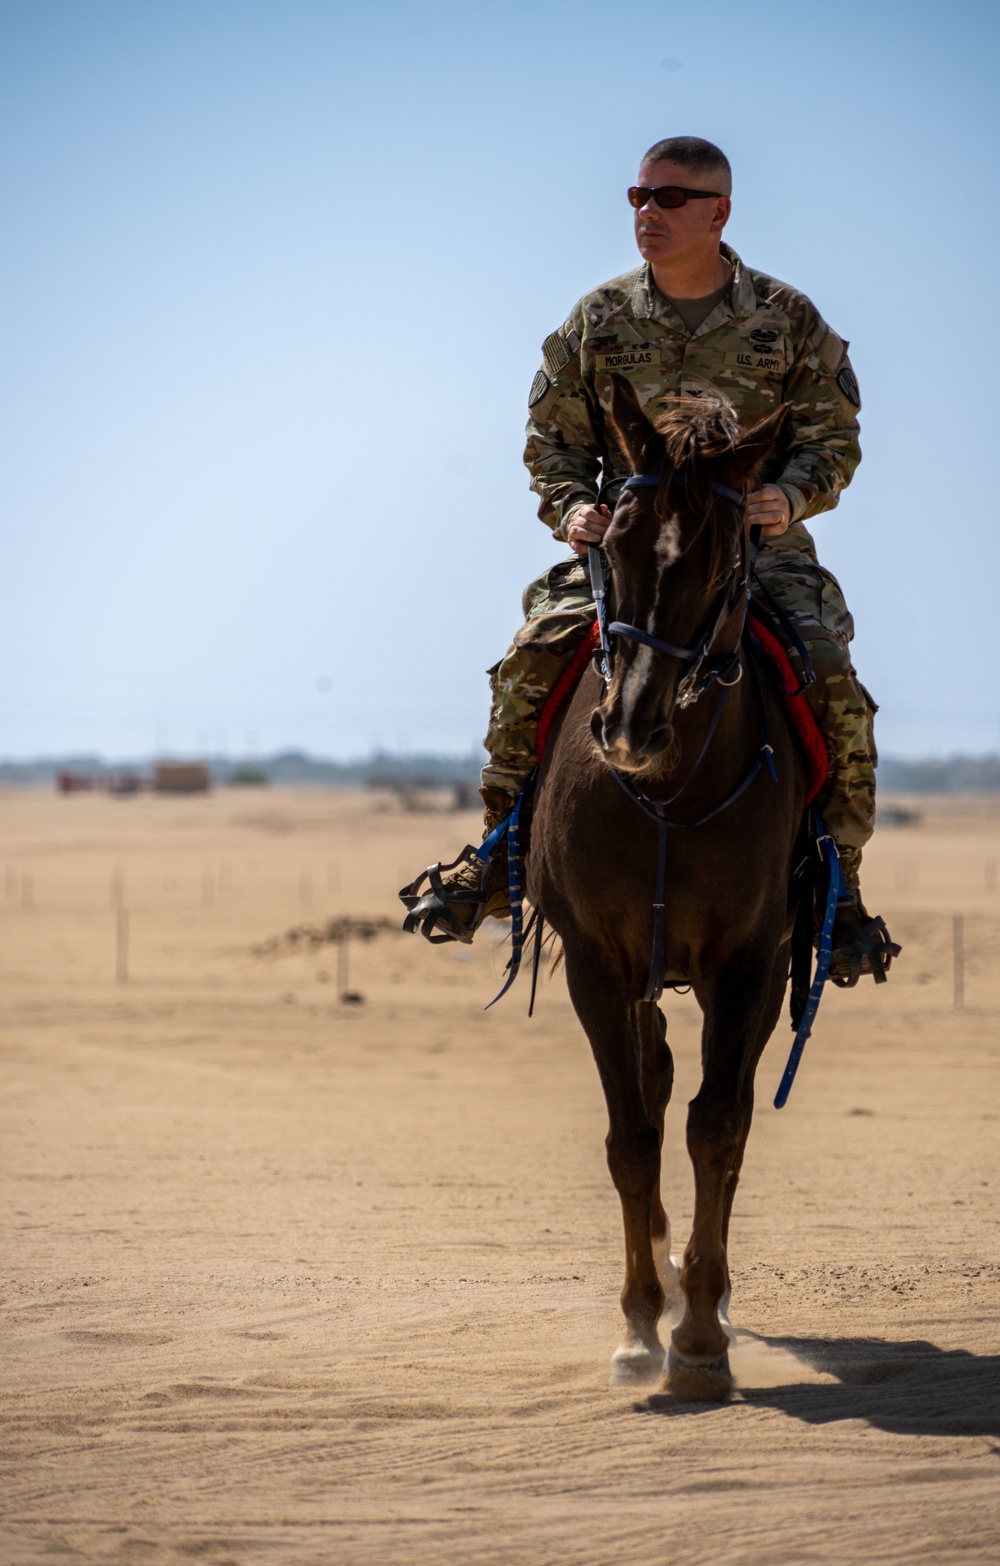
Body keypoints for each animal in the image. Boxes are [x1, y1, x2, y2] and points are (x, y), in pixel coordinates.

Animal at [532, 375, 807, 1396]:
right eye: (610, 540)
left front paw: (697, 1336)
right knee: (651, 1087)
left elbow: (716, 1127)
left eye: (727, 560)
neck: (669, 789)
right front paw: (640, 1325)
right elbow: (632, 1136)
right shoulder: (596, 964)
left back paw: (706, 1292)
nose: (630, 728)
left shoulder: (748, 963)